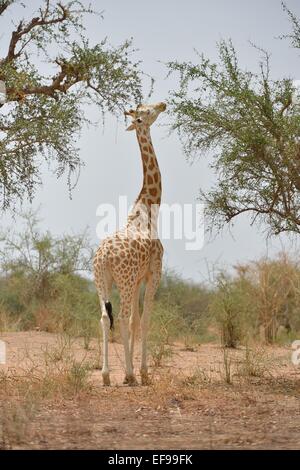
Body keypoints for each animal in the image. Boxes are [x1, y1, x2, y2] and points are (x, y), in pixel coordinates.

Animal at [94, 101, 166, 384]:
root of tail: (104, 257)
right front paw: (142, 372)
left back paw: (106, 375)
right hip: (121, 282)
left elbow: (136, 320)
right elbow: (143, 319)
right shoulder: (153, 272)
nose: (163, 104)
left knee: (105, 317)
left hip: (102, 281)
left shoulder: (136, 280)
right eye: (145, 113)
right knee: (122, 317)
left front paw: (132, 370)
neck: (147, 209)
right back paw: (129, 374)